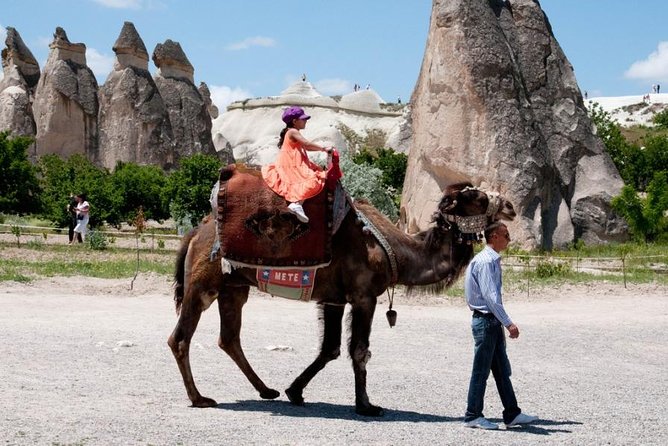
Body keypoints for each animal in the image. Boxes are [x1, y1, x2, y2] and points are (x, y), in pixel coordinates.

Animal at [168, 179, 516, 416]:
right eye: (475, 197)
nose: (510, 207)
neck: (397, 251)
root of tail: (195, 233)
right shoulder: (363, 296)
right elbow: (359, 350)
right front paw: (367, 406)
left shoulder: (333, 298)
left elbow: (330, 349)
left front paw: (295, 391)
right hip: (203, 283)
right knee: (181, 338)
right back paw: (199, 399)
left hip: (234, 286)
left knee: (229, 338)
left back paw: (267, 390)